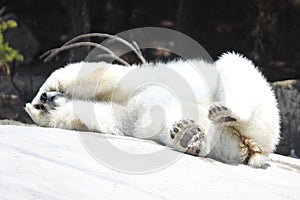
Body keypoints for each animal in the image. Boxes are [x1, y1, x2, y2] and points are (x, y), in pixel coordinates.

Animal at [24, 52, 280, 168]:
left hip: (263, 105)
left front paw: (47, 89)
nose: (46, 99)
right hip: (225, 143)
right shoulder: (124, 113)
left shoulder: (131, 82)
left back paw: (225, 111)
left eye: (44, 98)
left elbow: (98, 74)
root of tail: (254, 148)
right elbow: (100, 117)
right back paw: (188, 136)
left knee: (234, 66)